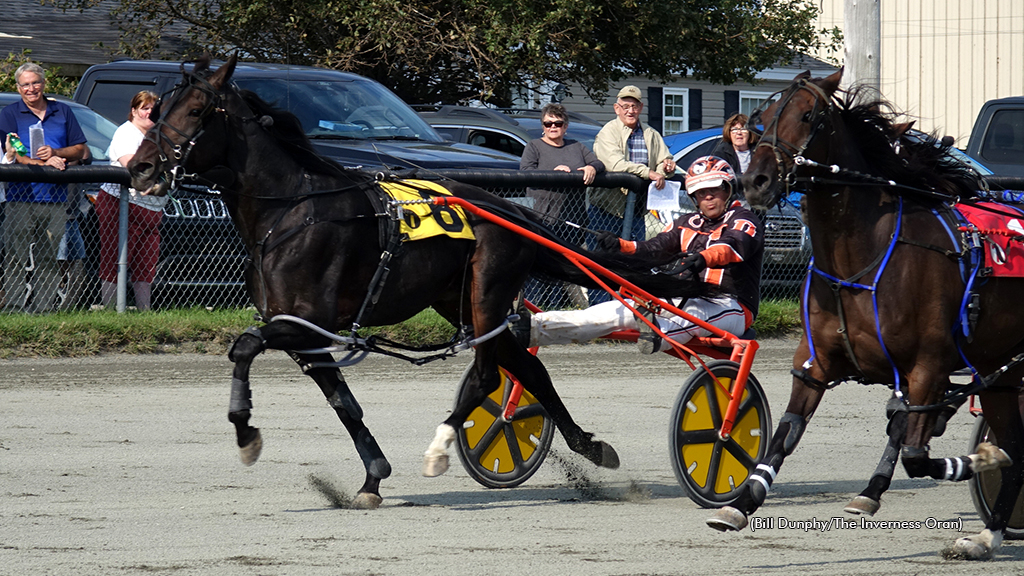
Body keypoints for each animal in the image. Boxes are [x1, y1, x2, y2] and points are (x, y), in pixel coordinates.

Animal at [123, 54, 708, 506]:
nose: (140, 168)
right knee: (524, 369)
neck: (291, 211)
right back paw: (585, 446)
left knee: (492, 373)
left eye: (196, 110)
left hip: (487, 291)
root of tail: (508, 209)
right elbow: (343, 401)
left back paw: (453, 446)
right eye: (159, 108)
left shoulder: (304, 323)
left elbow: (243, 347)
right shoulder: (304, 333)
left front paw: (246, 432)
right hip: (459, 300)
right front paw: (371, 478)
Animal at [708, 67, 1024, 557]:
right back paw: (985, 537)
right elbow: (785, 436)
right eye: (761, 117)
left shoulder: (928, 367)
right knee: (1015, 444)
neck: (859, 259)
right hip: (1000, 369)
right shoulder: (815, 363)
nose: (754, 181)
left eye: (809, 115)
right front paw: (739, 504)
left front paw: (980, 457)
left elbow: (915, 453)